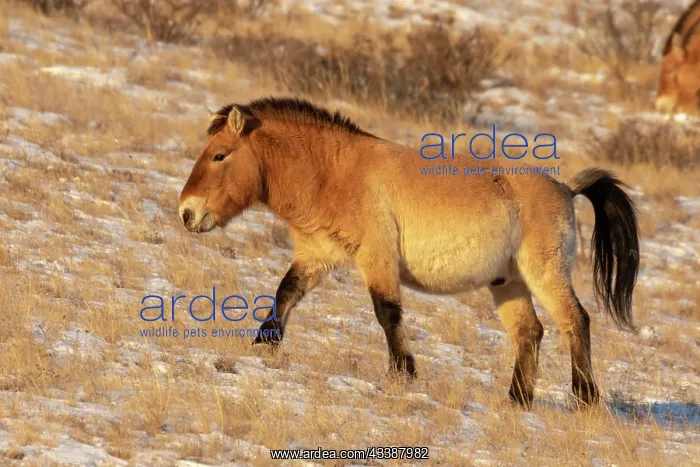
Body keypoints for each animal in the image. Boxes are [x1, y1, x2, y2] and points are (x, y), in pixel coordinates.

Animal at [179, 97, 639, 408]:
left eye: (219, 155)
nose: (187, 213)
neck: (333, 174)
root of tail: (565, 188)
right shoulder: (315, 256)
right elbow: (285, 293)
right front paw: (264, 344)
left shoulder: (376, 259)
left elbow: (387, 314)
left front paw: (403, 371)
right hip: (507, 283)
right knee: (530, 332)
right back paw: (517, 400)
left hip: (543, 274)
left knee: (575, 321)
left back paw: (585, 397)